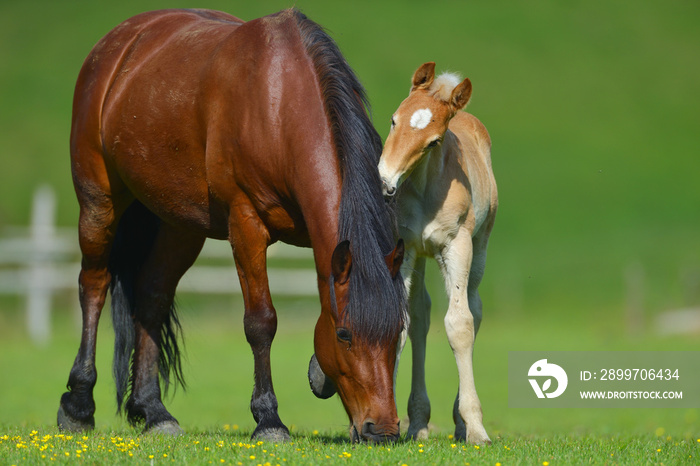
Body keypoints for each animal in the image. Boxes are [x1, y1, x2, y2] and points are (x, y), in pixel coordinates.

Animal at [60, 8, 410, 444]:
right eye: (345, 335)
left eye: (397, 330)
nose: (384, 430)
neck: (279, 105)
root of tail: (118, 43)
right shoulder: (245, 224)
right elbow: (261, 322)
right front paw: (269, 419)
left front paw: (318, 376)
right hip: (99, 201)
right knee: (93, 285)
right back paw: (78, 405)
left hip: (179, 224)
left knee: (152, 297)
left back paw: (154, 411)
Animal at [378, 62, 498, 444]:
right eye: (393, 120)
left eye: (434, 141)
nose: (386, 181)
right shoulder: (404, 249)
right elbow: (401, 322)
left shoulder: (457, 246)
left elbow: (460, 325)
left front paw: (476, 428)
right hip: (420, 258)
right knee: (420, 317)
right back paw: (418, 422)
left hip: (479, 248)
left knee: (474, 310)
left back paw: (460, 422)